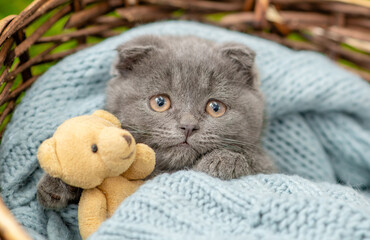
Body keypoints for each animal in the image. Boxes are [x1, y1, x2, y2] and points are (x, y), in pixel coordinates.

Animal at [36, 34, 274, 209]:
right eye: (160, 102)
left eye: (215, 107)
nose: (188, 126)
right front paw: (57, 183)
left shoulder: (269, 167)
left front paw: (223, 161)